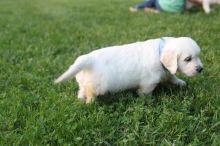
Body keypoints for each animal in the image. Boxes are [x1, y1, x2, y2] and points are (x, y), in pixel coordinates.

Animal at [54, 37, 203, 103]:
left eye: (198, 55)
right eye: (188, 59)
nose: (200, 69)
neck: (160, 51)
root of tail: (87, 59)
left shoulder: (166, 71)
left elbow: (172, 76)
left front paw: (180, 83)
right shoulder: (149, 82)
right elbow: (146, 92)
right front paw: (148, 100)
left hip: (84, 81)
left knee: (81, 90)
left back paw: (81, 100)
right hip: (98, 85)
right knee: (90, 93)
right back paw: (91, 103)